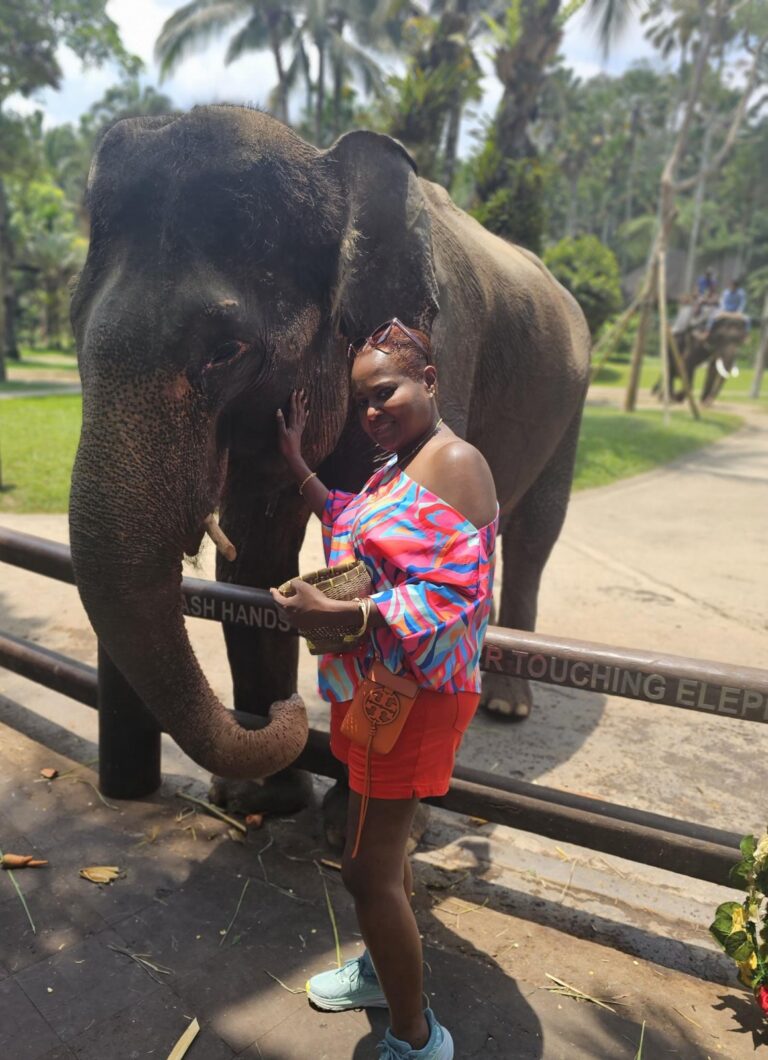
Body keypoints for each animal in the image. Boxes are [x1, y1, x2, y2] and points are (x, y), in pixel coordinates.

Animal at [68, 106, 590, 812]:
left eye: (225, 351)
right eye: (71, 325)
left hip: (574, 402)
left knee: (538, 532)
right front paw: (261, 801)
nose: (284, 710)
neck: (332, 168)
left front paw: (349, 811)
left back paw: (507, 705)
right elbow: (257, 560)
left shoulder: (442, 341)